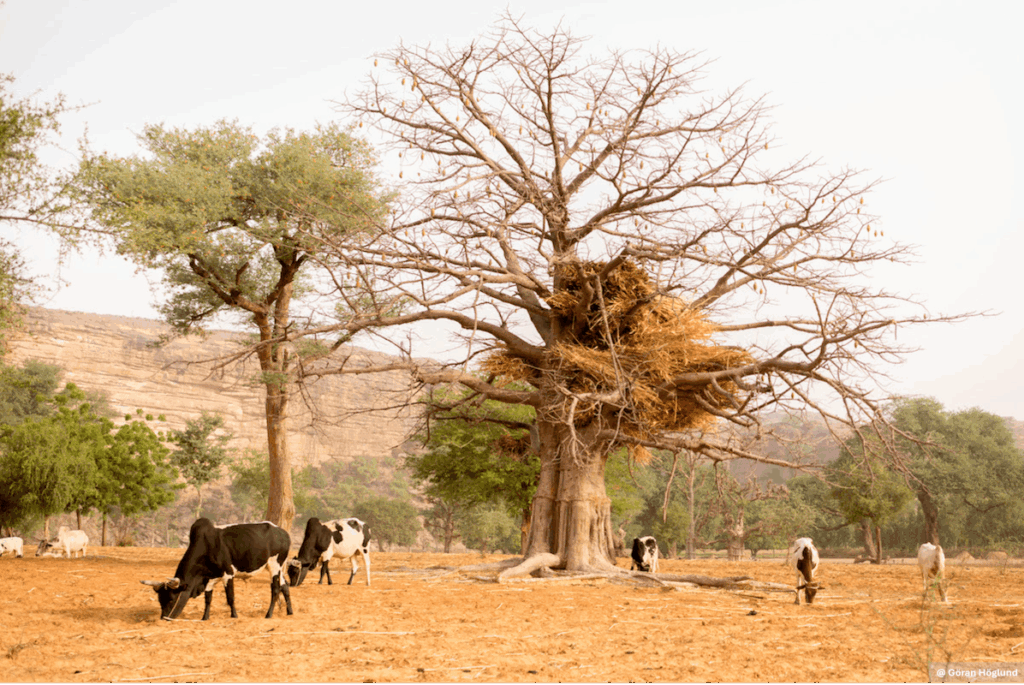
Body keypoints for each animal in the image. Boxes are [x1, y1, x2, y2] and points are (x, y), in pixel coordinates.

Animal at [140, 518, 293, 620]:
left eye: (171, 599)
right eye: (160, 600)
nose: (164, 618)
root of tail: (284, 533)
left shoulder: (228, 574)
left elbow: (230, 597)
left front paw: (234, 615)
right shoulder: (209, 579)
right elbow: (208, 599)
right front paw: (205, 617)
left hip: (274, 566)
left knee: (275, 590)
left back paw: (269, 614)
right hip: (278, 568)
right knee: (285, 587)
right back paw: (289, 611)